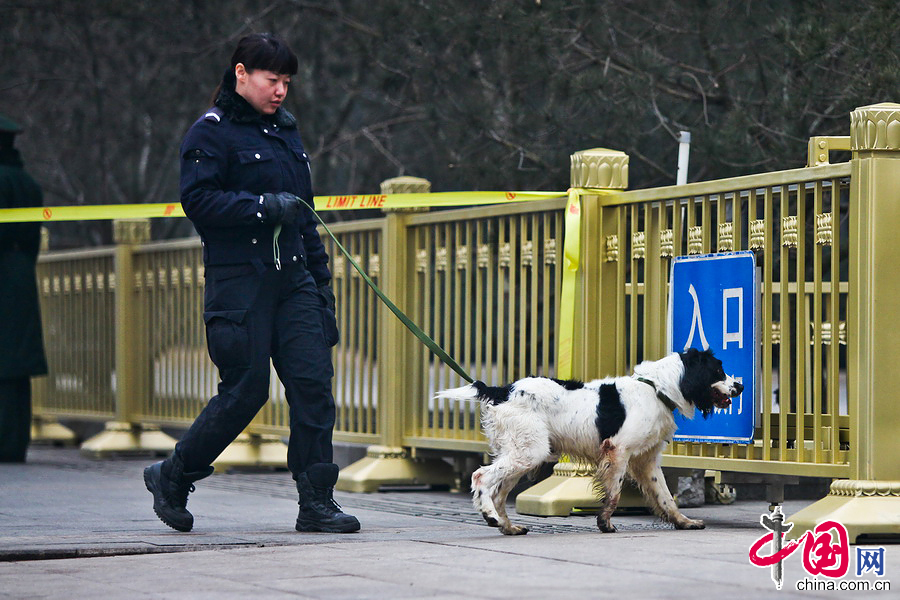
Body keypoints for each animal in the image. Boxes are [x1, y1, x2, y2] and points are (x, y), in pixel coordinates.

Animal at [434, 350, 740, 536]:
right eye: (719, 371)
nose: (741, 386)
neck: (656, 389)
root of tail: (501, 390)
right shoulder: (618, 451)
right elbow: (614, 493)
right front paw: (605, 523)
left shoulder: (647, 461)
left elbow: (665, 496)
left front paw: (684, 522)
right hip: (529, 451)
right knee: (481, 477)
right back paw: (491, 518)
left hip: (521, 453)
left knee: (498, 492)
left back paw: (509, 527)